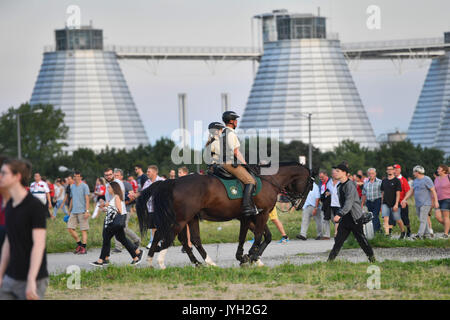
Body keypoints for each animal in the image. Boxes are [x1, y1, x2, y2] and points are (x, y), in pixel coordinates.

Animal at [137, 162, 312, 268]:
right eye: (310, 185)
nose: (299, 204)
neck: (270, 179)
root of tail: (173, 181)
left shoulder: (249, 217)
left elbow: (259, 236)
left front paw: (249, 257)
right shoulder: (260, 215)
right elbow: (257, 237)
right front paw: (250, 256)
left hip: (189, 218)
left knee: (189, 239)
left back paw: (203, 263)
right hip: (181, 219)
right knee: (169, 236)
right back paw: (161, 262)